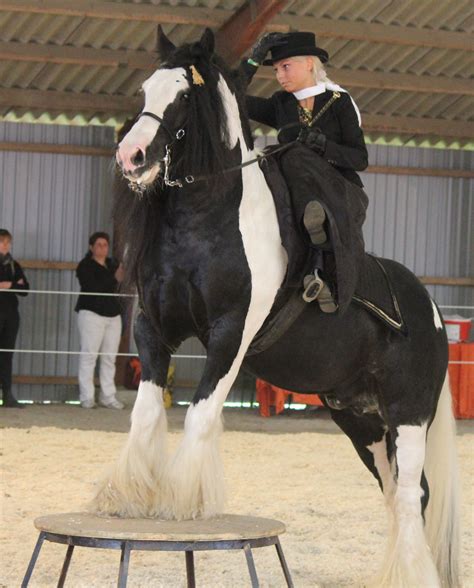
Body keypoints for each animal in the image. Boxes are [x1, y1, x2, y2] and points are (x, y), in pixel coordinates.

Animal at [92, 28, 460, 588]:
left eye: (184, 96)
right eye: (144, 89)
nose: (131, 156)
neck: (206, 224)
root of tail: (432, 312)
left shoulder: (230, 334)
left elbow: (200, 414)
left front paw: (181, 500)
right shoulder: (153, 329)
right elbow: (146, 414)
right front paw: (130, 495)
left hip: (408, 415)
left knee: (409, 495)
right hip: (362, 422)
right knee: (405, 495)